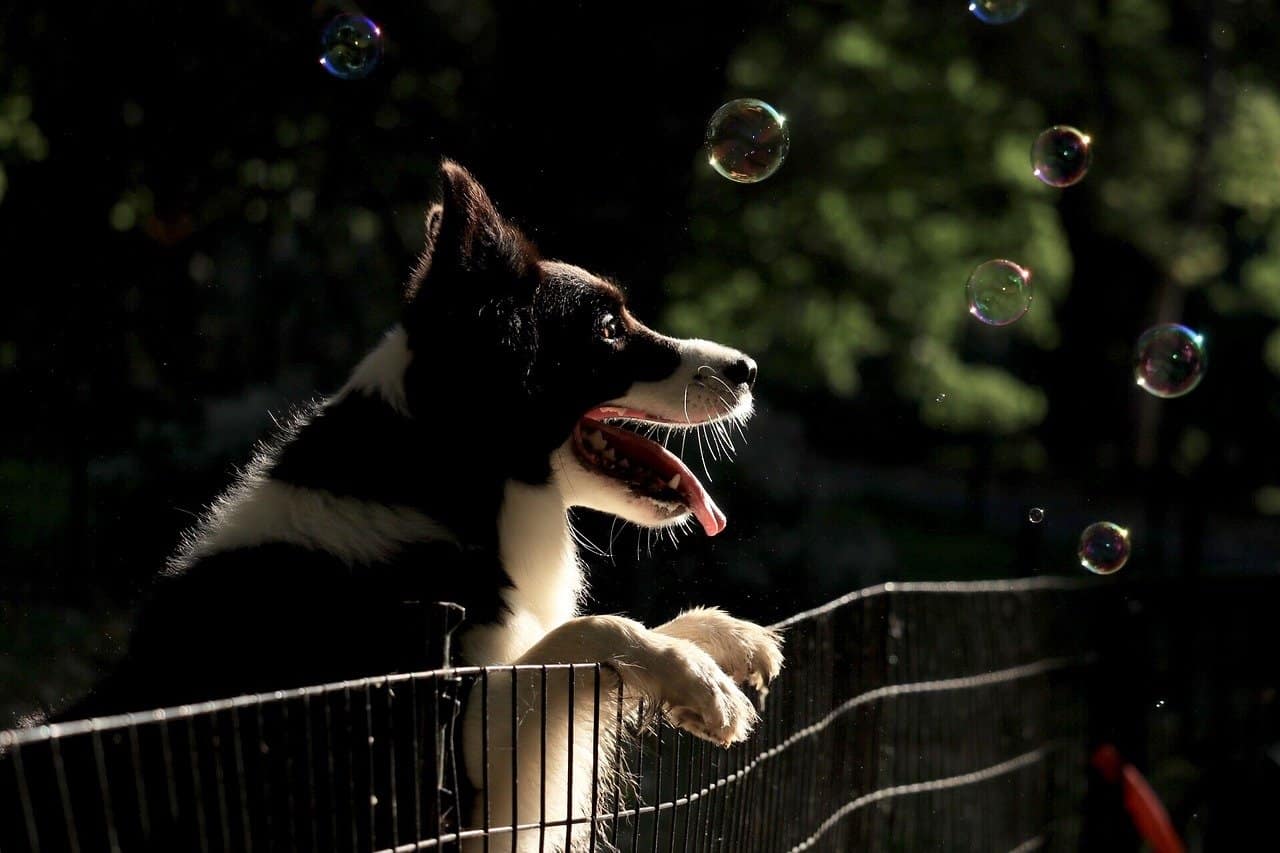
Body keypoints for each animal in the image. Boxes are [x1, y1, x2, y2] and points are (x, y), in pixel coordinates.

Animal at [0, 161, 778, 850]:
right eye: (610, 328)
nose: (749, 369)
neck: (446, 477)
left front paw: (723, 637)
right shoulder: (436, 774)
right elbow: (586, 631)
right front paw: (693, 677)